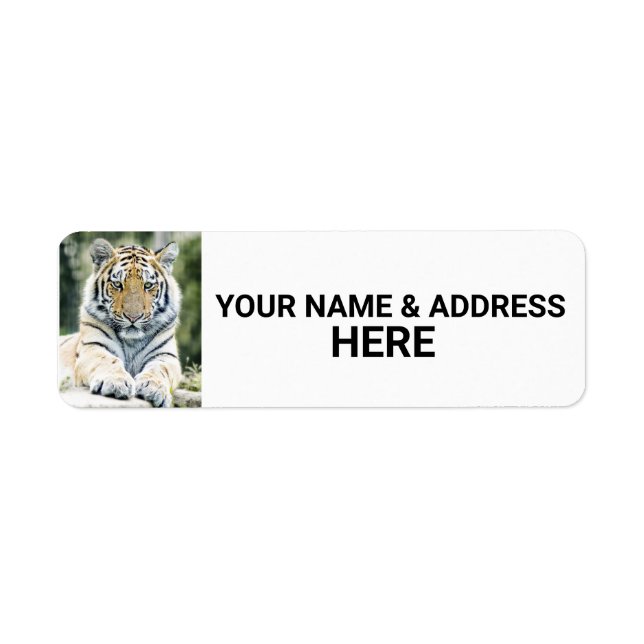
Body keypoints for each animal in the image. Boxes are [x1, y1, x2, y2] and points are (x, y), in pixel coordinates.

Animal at [59, 238, 182, 407]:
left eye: (148, 285)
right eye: (117, 284)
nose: (133, 317)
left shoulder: (166, 355)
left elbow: (160, 369)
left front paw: (153, 388)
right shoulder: (93, 347)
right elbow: (107, 360)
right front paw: (116, 383)